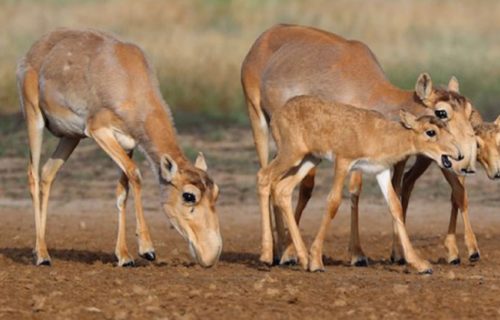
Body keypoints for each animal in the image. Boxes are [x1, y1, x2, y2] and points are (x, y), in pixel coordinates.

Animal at [17, 28, 222, 268]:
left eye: (216, 191)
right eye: (189, 196)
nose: (211, 255)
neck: (128, 77)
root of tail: (35, 49)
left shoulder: (128, 143)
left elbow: (122, 191)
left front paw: (124, 256)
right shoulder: (99, 131)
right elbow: (136, 173)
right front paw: (146, 249)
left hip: (70, 137)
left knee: (47, 174)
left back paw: (40, 250)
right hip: (35, 119)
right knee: (32, 174)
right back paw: (42, 255)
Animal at [260, 95, 462, 272]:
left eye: (446, 127)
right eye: (431, 131)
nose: (459, 154)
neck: (380, 135)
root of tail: (278, 114)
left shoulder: (381, 171)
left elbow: (395, 207)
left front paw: (420, 265)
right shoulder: (343, 162)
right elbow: (333, 202)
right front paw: (316, 261)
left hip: (309, 159)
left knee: (282, 188)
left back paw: (301, 258)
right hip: (291, 154)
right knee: (264, 177)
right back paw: (267, 256)